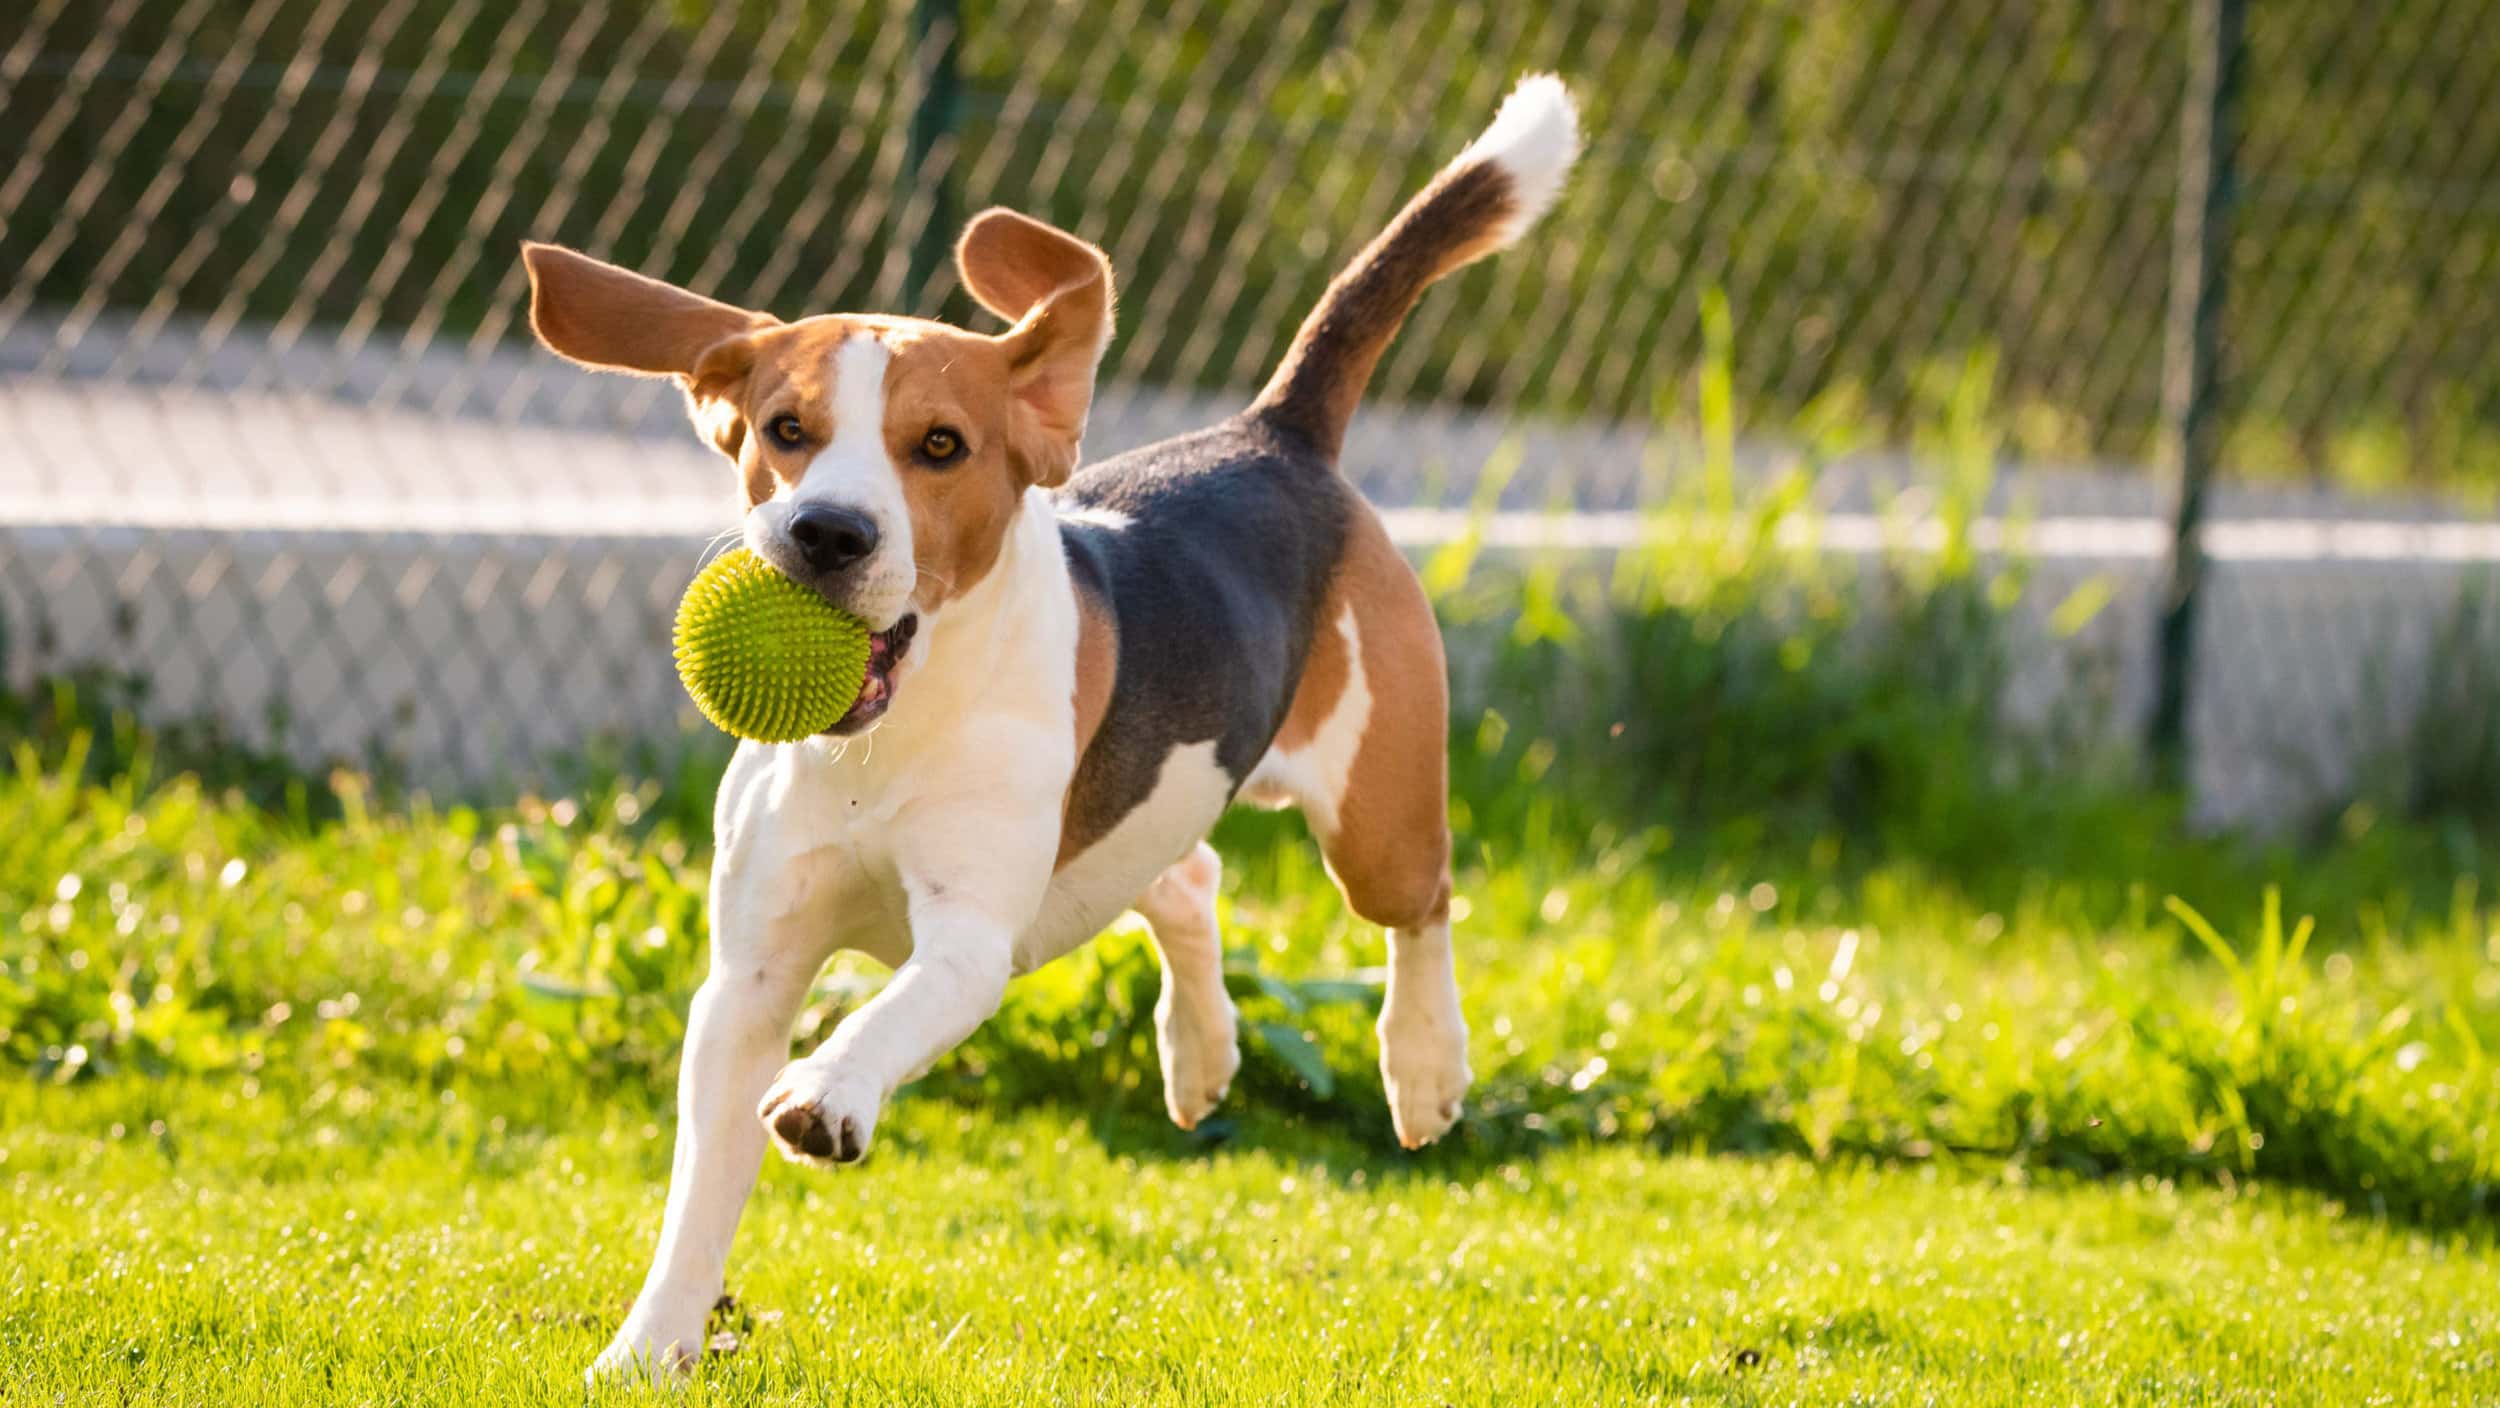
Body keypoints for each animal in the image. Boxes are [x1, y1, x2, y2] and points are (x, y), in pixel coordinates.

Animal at [527, 74, 1580, 1380]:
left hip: (1373, 818)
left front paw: (828, 1091)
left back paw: (1424, 1065)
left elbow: (883, 1014)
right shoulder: (748, 976)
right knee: (1188, 875)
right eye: (783, 430)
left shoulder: (968, 938)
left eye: (941, 446)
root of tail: (1271, 434)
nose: (827, 533)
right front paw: (649, 1347)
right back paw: (1200, 1053)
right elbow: (697, 1196)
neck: (885, 738)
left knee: (1419, 906)